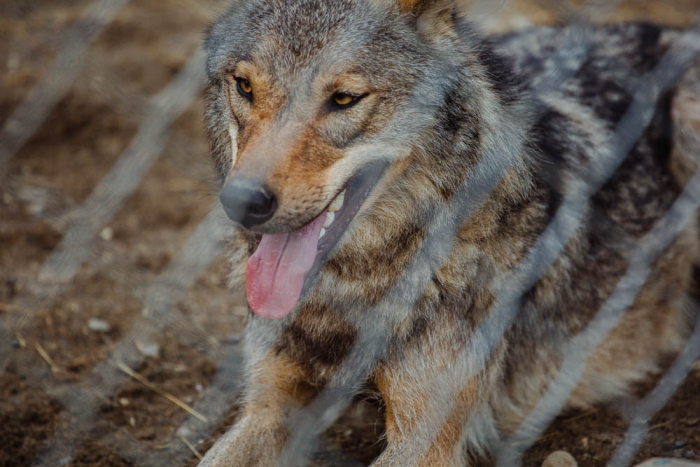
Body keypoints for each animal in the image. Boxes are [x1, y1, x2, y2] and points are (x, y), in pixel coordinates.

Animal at [197, 0, 700, 464]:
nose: (242, 200)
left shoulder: (423, 438)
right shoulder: (268, 405)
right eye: (245, 87)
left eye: (343, 98)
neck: (352, 287)